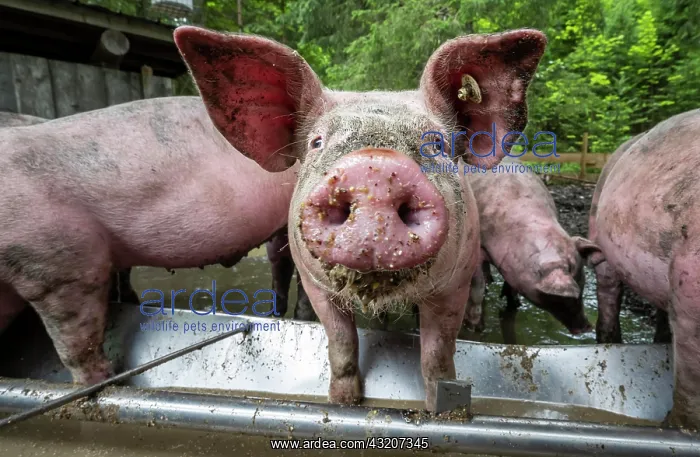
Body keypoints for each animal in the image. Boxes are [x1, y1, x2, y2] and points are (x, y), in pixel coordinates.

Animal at [175, 26, 547, 410]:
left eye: (437, 144)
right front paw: (342, 401)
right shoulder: (315, 283)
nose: (375, 167)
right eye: (317, 142)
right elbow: (341, 341)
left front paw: (437, 406)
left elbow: (438, 353)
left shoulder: (453, 284)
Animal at [464, 157, 596, 336]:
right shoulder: (478, 247)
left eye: (583, 287)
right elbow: (476, 287)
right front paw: (475, 328)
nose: (587, 327)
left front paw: (515, 305)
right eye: (567, 298)